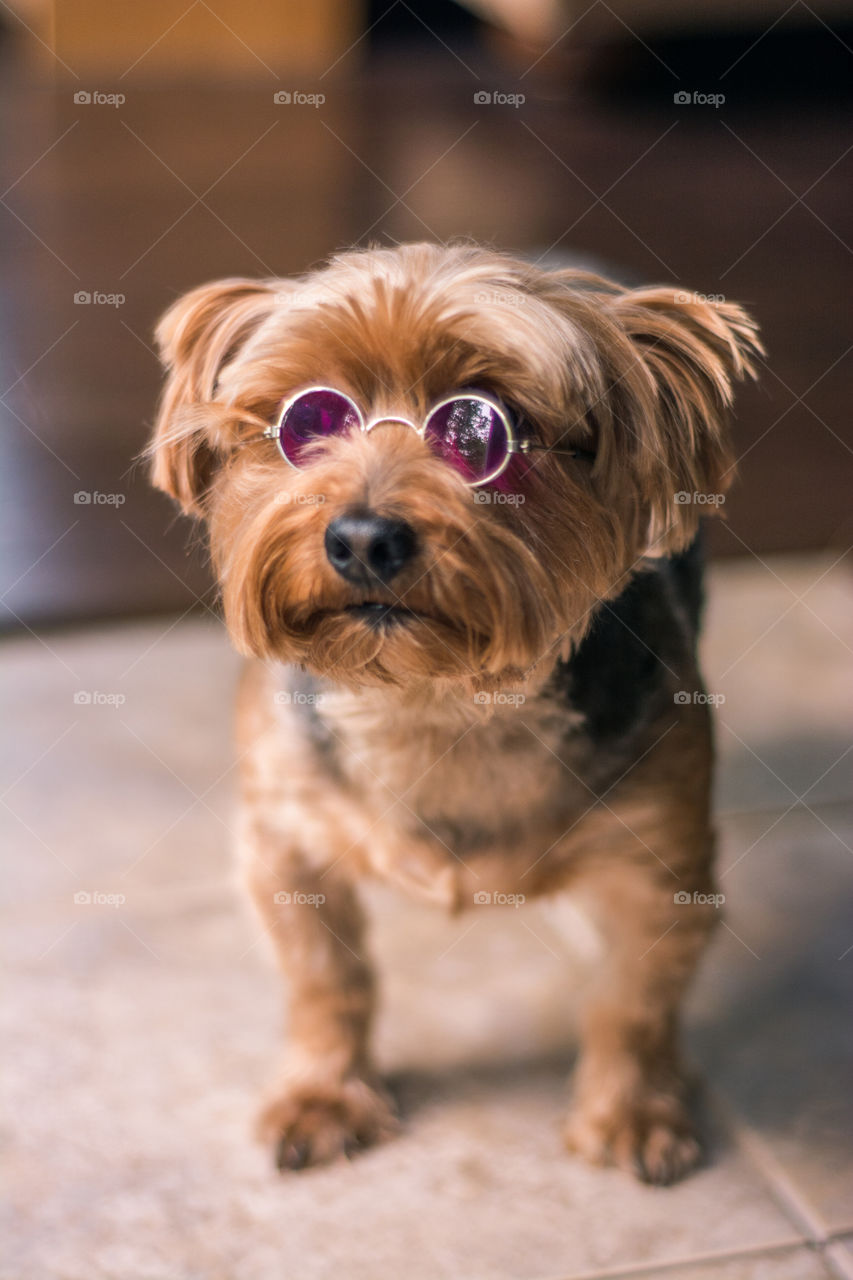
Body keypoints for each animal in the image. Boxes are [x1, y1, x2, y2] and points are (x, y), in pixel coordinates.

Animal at [146, 240, 758, 1177]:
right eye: (305, 423)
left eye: (481, 433)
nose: (362, 538)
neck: (436, 701)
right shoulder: (284, 840)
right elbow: (327, 980)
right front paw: (325, 1094)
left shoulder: (661, 865)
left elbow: (633, 1000)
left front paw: (630, 1111)